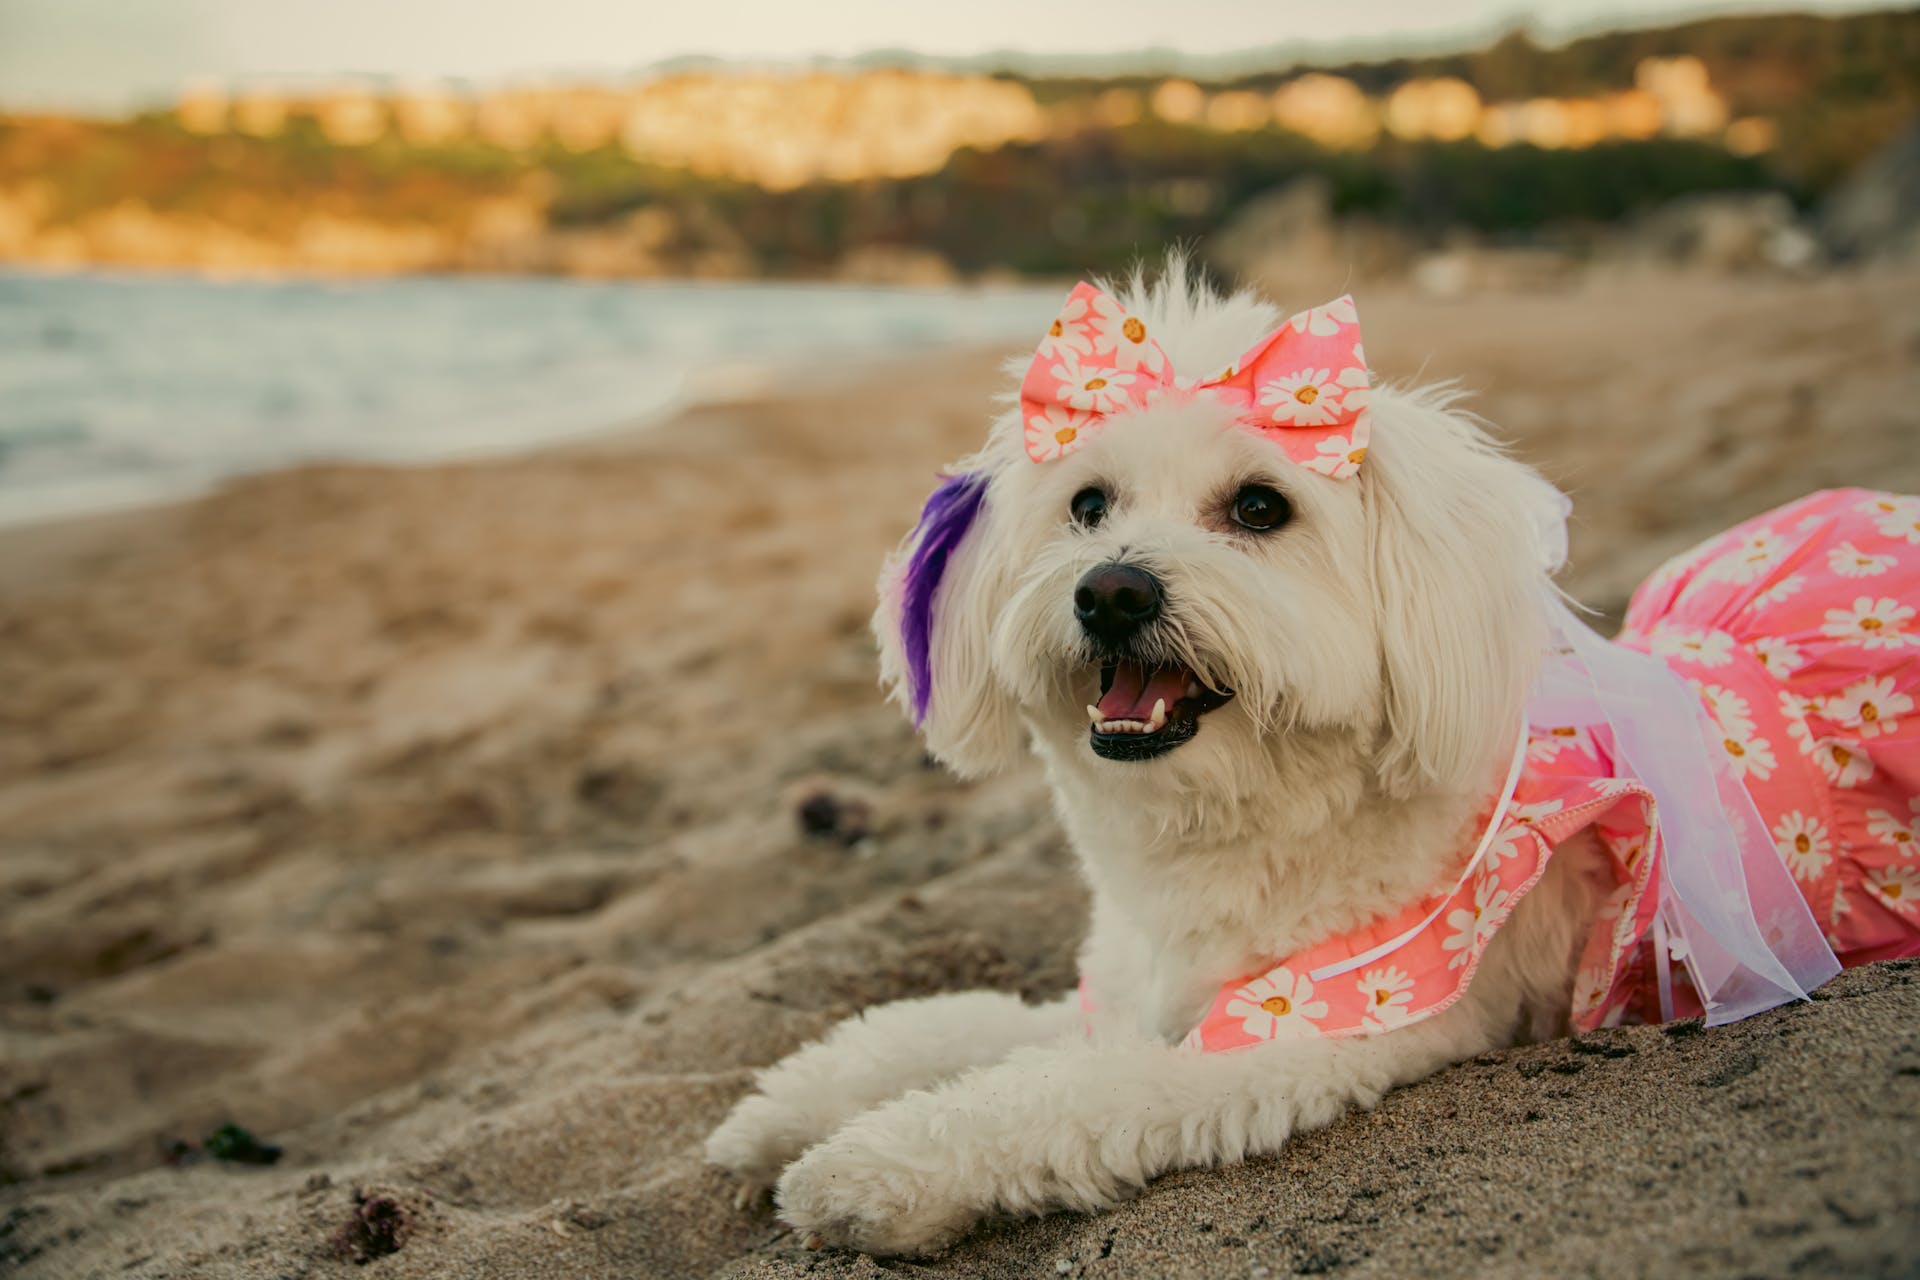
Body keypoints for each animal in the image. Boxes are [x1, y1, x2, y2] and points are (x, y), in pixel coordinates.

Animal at [710, 255, 1920, 1258]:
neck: (1239, 828)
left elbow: (1057, 1095)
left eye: (1260, 506)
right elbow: (946, 1027)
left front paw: (866, 1171)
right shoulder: (1135, 993)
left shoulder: (1301, 1031)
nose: (1111, 590)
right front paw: (786, 1109)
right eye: (1087, 504)